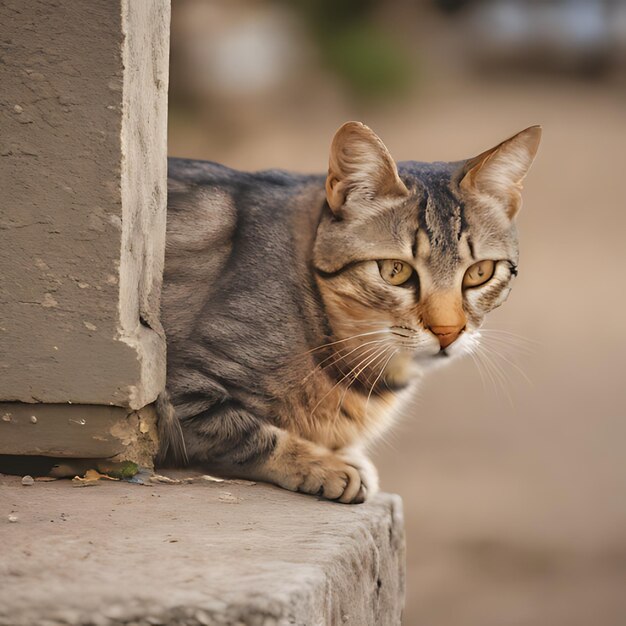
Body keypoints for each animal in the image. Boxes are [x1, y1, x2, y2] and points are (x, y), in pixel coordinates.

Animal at [158, 120, 540, 502]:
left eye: (480, 272)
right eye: (395, 271)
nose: (448, 331)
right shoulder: (180, 389)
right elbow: (247, 434)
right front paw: (324, 465)